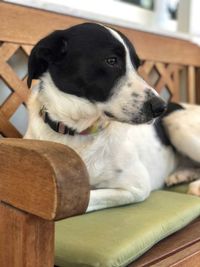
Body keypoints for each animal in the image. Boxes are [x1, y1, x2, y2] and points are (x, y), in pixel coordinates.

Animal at [24, 23, 200, 213]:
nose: (161, 107)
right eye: (111, 61)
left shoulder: (136, 187)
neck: (77, 131)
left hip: (176, 124)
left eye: (137, 66)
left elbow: (85, 199)